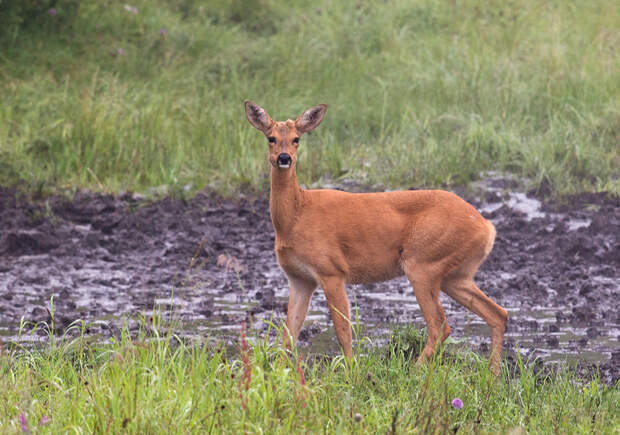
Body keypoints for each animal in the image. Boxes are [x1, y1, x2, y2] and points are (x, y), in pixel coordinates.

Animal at [243, 101, 508, 374]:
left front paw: (350, 371)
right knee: (498, 313)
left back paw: (414, 370)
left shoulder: (332, 269)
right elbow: (289, 333)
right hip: (455, 275)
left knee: (440, 325)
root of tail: (486, 227)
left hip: (423, 263)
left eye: (297, 139)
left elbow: (343, 330)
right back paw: (493, 374)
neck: (296, 215)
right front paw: (277, 374)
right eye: (271, 138)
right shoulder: (299, 278)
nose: (284, 158)